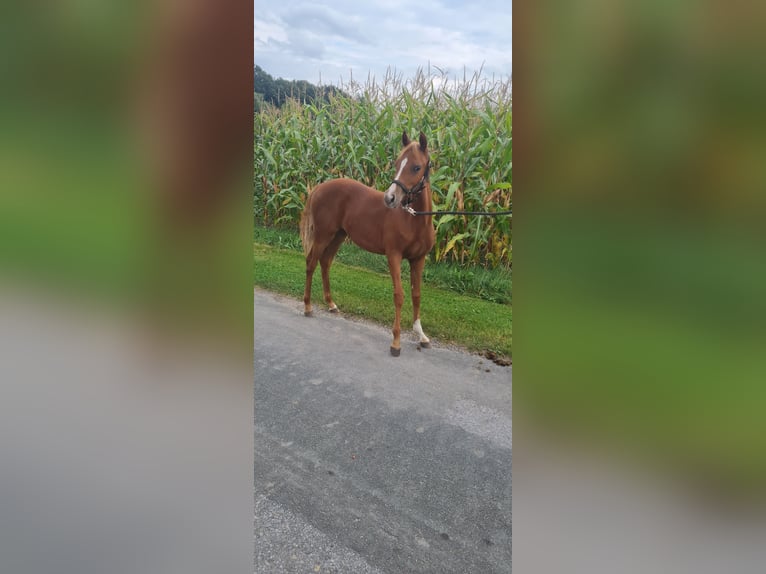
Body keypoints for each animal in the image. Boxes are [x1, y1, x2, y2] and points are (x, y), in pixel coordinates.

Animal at [300, 132, 436, 356]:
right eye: (397, 163)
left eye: (416, 167)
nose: (390, 198)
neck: (413, 219)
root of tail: (319, 187)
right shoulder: (394, 256)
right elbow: (399, 295)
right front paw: (396, 342)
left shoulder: (418, 259)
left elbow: (416, 295)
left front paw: (421, 335)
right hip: (323, 235)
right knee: (311, 263)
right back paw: (308, 307)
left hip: (338, 236)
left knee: (325, 262)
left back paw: (331, 304)